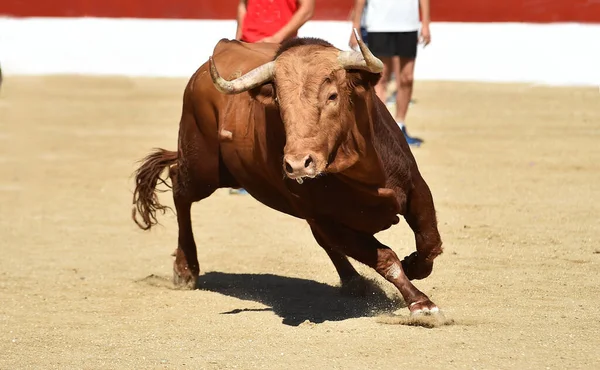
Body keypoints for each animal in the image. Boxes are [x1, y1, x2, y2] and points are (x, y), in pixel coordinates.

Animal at [131, 31, 442, 316]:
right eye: (279, 102)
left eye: (332, 96)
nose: (297, 164)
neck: (364, 171)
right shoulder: (329, 219)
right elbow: (385, 258)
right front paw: (421, 303)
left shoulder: (416, 187)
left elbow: (429, 240)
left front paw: (414, 266)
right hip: (202, 168)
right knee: (179, 187)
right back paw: (185, 269)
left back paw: (355, 282)